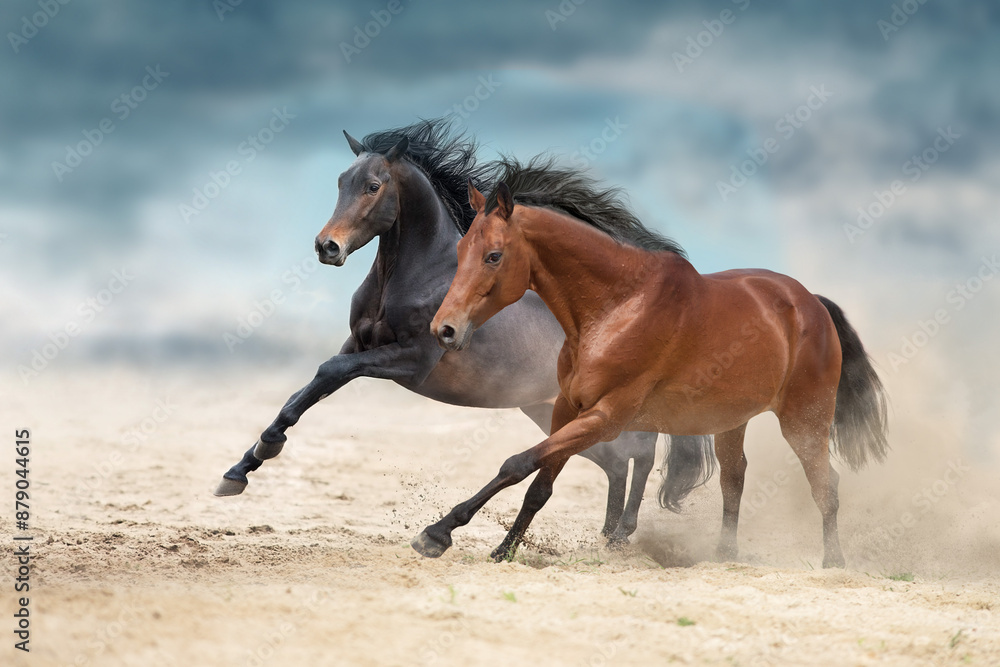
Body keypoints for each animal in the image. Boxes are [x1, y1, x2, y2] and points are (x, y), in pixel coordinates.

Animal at [214, 120, 715, 545]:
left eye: (373, 186)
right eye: (340, 182)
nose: (327, 247)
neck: (416, 276)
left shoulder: (412, 360)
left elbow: (329, 370)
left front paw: (260, 452)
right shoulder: (359, 344)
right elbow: (311, 387)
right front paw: (242, 467)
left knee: (640, 450)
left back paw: (622, 532)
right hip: (546, 408)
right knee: (613, 459)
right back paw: (609, 534)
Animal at [416, 180, 889, 567]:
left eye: (494, 256)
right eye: (459, 252)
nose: (444, 329)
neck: (617, 308)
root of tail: (811, 303)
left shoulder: (604, 419)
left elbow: (516, 464)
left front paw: (437, 533)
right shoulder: (568, 410)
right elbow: (539, 484)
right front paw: (502, 550)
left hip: (804, 421)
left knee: (825, 485)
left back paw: (833, 563)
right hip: (730, 421)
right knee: (734, 478)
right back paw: (724, 556)